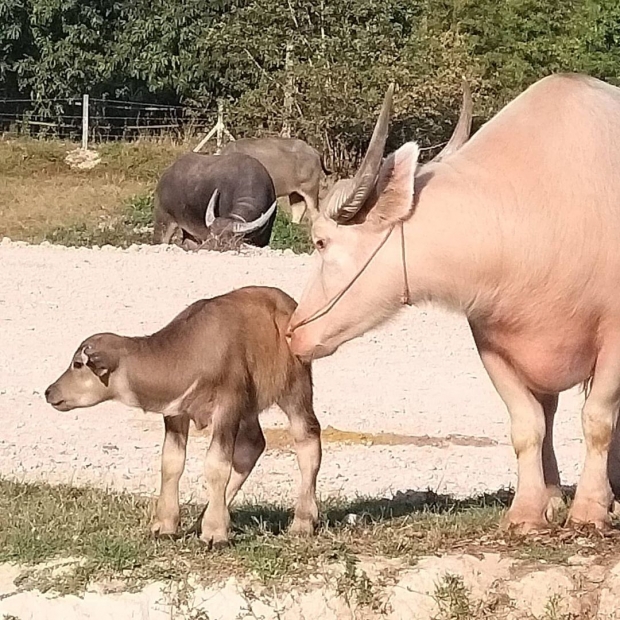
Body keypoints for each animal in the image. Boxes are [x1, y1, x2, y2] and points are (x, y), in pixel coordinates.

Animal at [46, 286, 322, 548]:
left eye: (77, 364)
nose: (50, 391)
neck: (189, 354)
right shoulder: (176, 413)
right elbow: (171, 462)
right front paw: (166, 525)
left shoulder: (228, 408)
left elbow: (216, 465)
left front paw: (215, 533)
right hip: (250, 408)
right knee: (252, 445)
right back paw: (206, 517)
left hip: (295, 388)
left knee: (307, 439)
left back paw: (302, 522)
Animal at [288, 74, 620, 532]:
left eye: (320, 242)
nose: (293, 331)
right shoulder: (492, 342)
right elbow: (527, 426)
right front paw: (526, 512)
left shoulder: (615, 340)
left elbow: (598, 420)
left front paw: (591, 509)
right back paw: (553, 496)